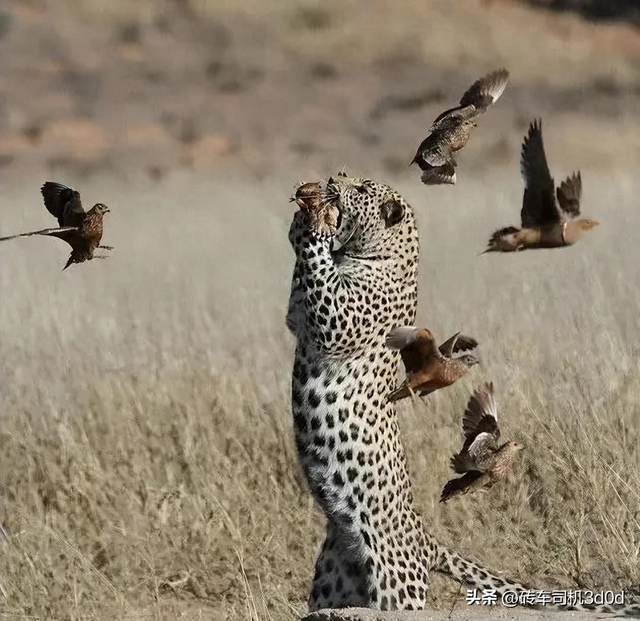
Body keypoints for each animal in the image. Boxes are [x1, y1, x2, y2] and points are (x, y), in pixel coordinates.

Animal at [286, 173, 640, 616]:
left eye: (363, 188)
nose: (334, 179)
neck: (381, 254)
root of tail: (425, 539)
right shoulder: (299, 318)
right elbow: (299, 291)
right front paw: (303, 219)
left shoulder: (338, 320)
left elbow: (322, 280)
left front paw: (317, 223)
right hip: (334, 578)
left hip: (394, 582)